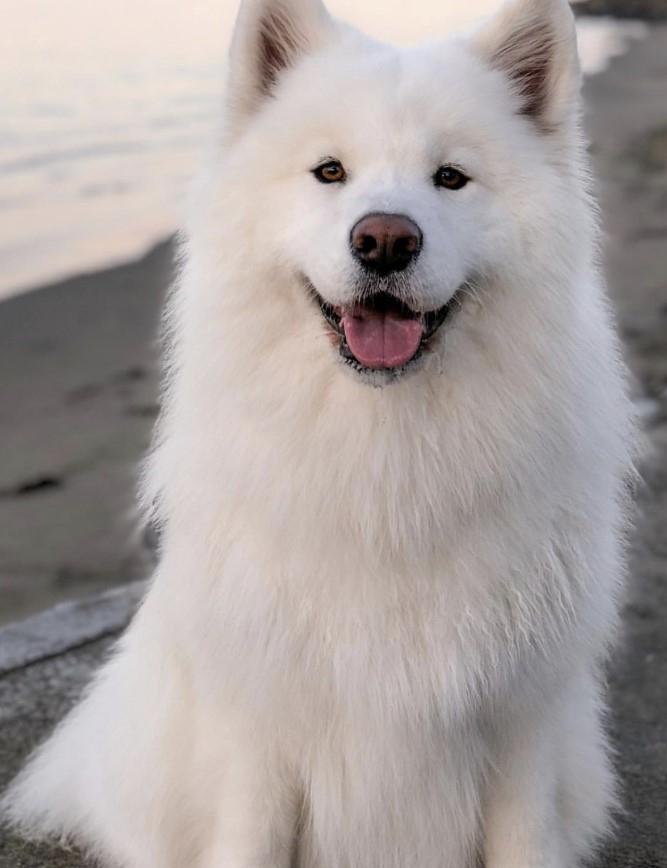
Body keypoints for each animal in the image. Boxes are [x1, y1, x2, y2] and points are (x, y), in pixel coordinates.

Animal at [1, 0, 636, 864]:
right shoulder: (263, 720)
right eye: (329, 171)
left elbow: (522, 839)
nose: (385, 240)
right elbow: (253, 839)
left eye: (450, 177)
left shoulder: (521, 712)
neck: (387, 461)